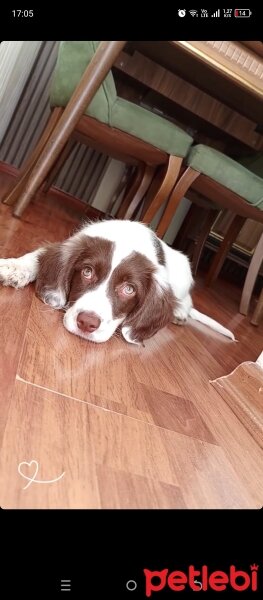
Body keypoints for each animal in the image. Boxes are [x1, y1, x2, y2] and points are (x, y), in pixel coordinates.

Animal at [0, 219, 235, 342]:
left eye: (129, 289)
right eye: (87, 272)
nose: (87, 323)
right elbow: (37, 256)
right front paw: (14, 267)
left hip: (183, 275)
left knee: (185, 301)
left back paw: (179, 313)